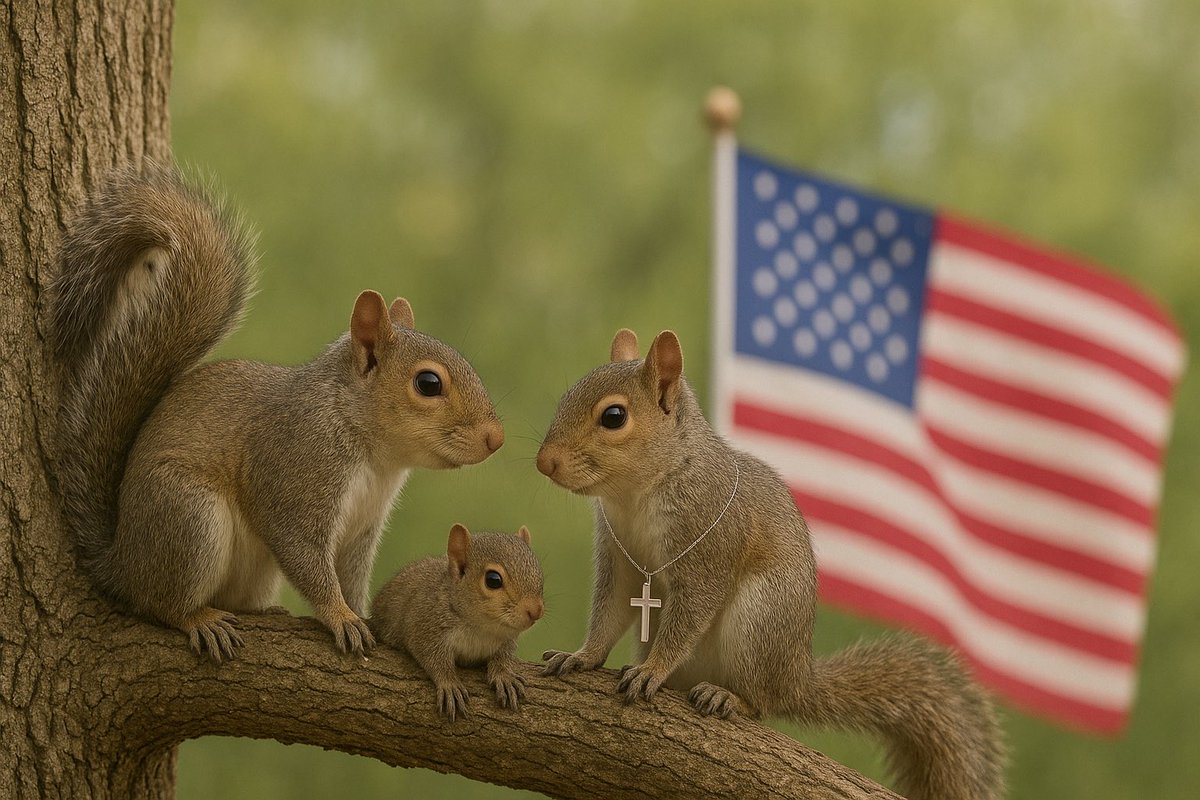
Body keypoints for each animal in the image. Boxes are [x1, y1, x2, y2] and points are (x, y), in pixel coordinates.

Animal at [47, 164, 505, 661]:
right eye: (428, 384)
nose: (496, 438)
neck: (372, 451)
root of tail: (121, 561)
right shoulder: (296, 476)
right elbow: (305, 558)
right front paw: (341, 617)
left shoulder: (363, 528)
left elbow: (351, 576)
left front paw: (363, 614)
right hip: (189, 518)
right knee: (157, 601)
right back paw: (197, 618)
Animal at [371, 524, 545, 721]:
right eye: (493, 580)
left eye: (538, 571)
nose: (536, 611)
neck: (482, 629)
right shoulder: (424, 626)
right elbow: (433, 658)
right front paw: (449, 684)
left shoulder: (506, 639)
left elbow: (504, 656)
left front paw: (504, 675)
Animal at [536, 327, 1005, 800]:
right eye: (566, 396)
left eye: (614, 416)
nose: (544, 462)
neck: (633, 496)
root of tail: (796, 678)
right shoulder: (619, 557)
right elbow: (611, 611)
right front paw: (582, 655)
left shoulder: (709, 549)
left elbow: (689, 614)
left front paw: (652, 669)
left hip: (760, 619)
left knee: (761, 703)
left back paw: (728, 698)